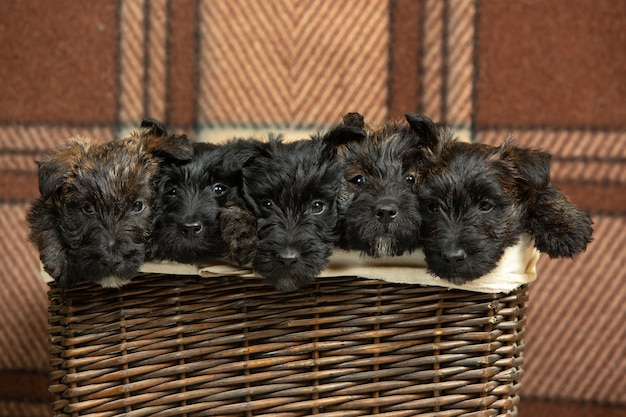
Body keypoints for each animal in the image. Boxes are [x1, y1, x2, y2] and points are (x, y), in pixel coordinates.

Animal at [26, 117, 193, 286]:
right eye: (87, 208)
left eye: (137, 206)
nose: (111, 261)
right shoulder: (44, 205)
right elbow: (47, 220)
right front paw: (59, 259)